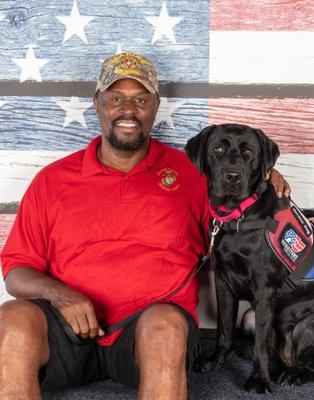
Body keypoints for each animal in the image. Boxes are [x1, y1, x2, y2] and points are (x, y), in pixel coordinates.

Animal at [185, 124, 312, 394]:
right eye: (217, 149)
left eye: (249, 153)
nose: (232, 176)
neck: (237, 217)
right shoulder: (222, 282)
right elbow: (224, 329)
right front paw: (215, 361)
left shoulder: (265, 291)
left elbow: (263, 343)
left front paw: (259, 380)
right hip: (248, 317)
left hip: (299, 321)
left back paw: (293, 374)